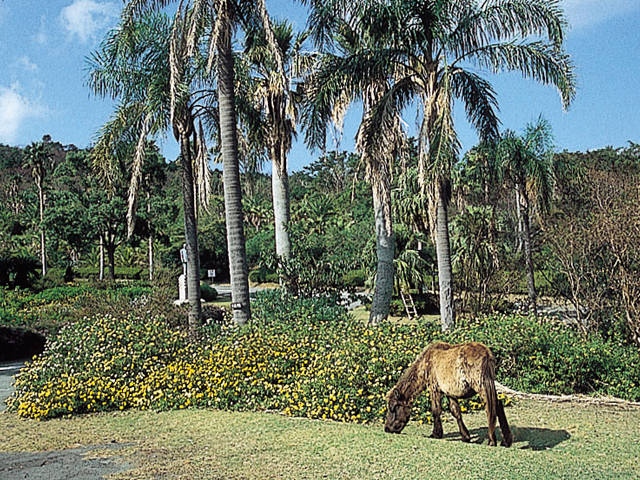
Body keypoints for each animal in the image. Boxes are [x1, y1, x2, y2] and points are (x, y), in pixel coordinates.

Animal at [384, 342, 516, 446]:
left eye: (393, 408)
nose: (387, 429)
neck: (427, 361)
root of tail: (486, 354)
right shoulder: (449, 393)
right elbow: (455, 411)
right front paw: (465, 436)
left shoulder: (434, 389)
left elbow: (436, 410)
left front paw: (436, 434)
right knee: (497, 405)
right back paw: (506, 441)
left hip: (481, 387)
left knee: (490, 407)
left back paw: (492, 441)